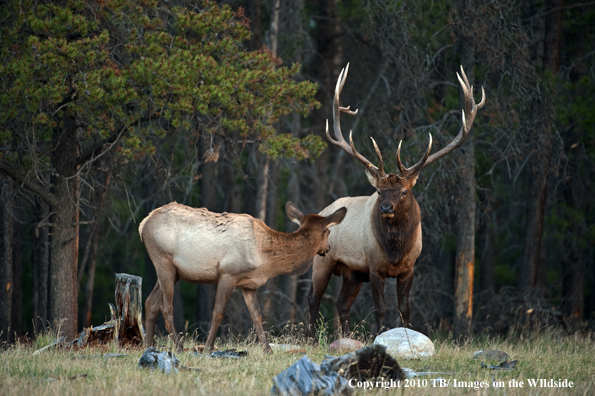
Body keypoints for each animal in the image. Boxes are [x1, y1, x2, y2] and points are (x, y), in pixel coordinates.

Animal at [139, 203, 346, 352]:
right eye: (328, 231)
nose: (327, 248)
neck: (264, 258)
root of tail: (143, 224)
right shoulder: (228, 273)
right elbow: (218, 312)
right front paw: (207, 348)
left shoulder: (249, 285)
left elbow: (257, 315)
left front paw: (268, 349)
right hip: (163, 260)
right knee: (166, 306)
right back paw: (179, 347)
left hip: (174, 271)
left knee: (150, 302)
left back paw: (149, 346)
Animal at [310, 63, 486, 338]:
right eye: (379, 191)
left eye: (403, 191)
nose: (385, 208)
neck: (395, 250)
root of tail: (323, 210)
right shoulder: (374, 267)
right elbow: (380, 309)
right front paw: (378, 336)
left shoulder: (409, 268)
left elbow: (405, 310)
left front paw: (406, 336)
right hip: (323, 260)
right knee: (313, 300)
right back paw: (306, 336)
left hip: (352, 273)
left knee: (341, 304)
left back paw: (346, 337)